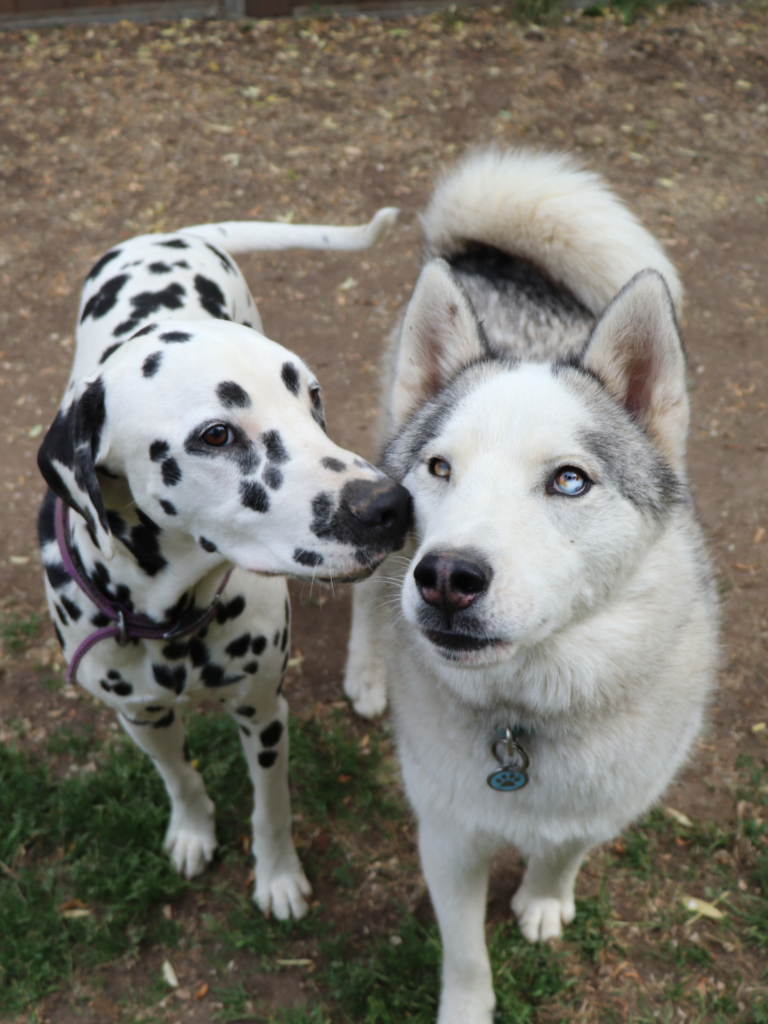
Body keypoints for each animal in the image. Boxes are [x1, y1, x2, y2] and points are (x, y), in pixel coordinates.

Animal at [36, 207, 411, 921]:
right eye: (216, 435)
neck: (171, 617)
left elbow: (272, 809)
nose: (392, 507)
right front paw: (192, 831)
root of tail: (171, 235)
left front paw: (278, 877)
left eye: (312, 398)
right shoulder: (142, 717)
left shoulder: (264, 712)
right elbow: (179, 776)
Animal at [346, 148, 720, 1019]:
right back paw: (368, 671)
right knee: (363, 595)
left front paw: (545, 900)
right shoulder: (447, 837)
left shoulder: (605, 803)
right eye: (440, 468)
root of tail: (487, 257)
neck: (525, 722)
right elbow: (465, 958)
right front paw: (466, 1007)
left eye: (569, 481)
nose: (446, 577)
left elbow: (565, 854)